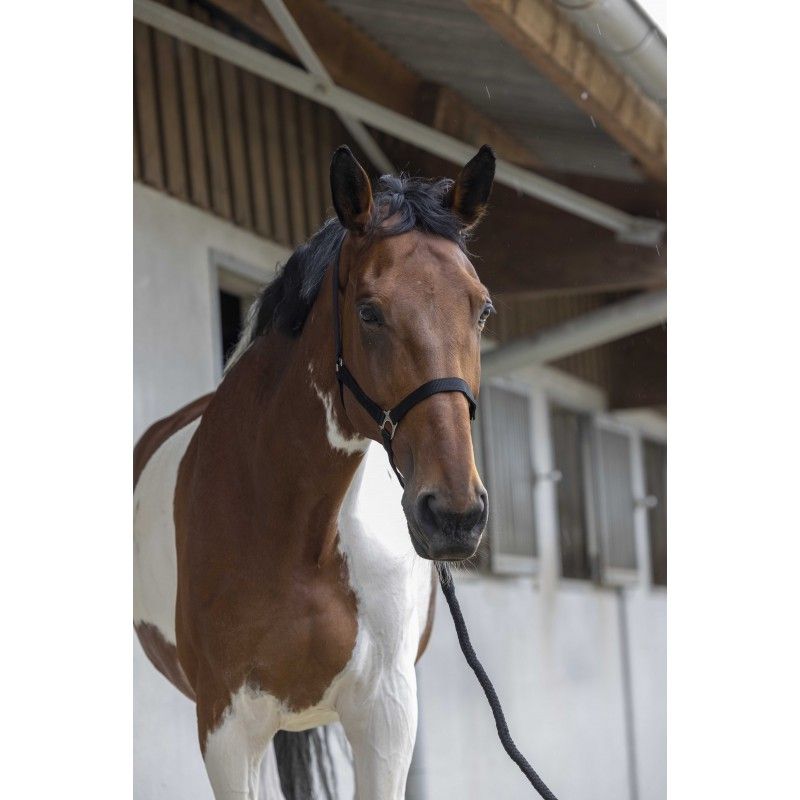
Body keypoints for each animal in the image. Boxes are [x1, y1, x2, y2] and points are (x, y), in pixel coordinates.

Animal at [133, 144, 497, 799]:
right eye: (369, 312)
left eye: (482, 310)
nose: (454, 515)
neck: (301, 532)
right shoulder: (228, 729)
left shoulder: (386, 717)